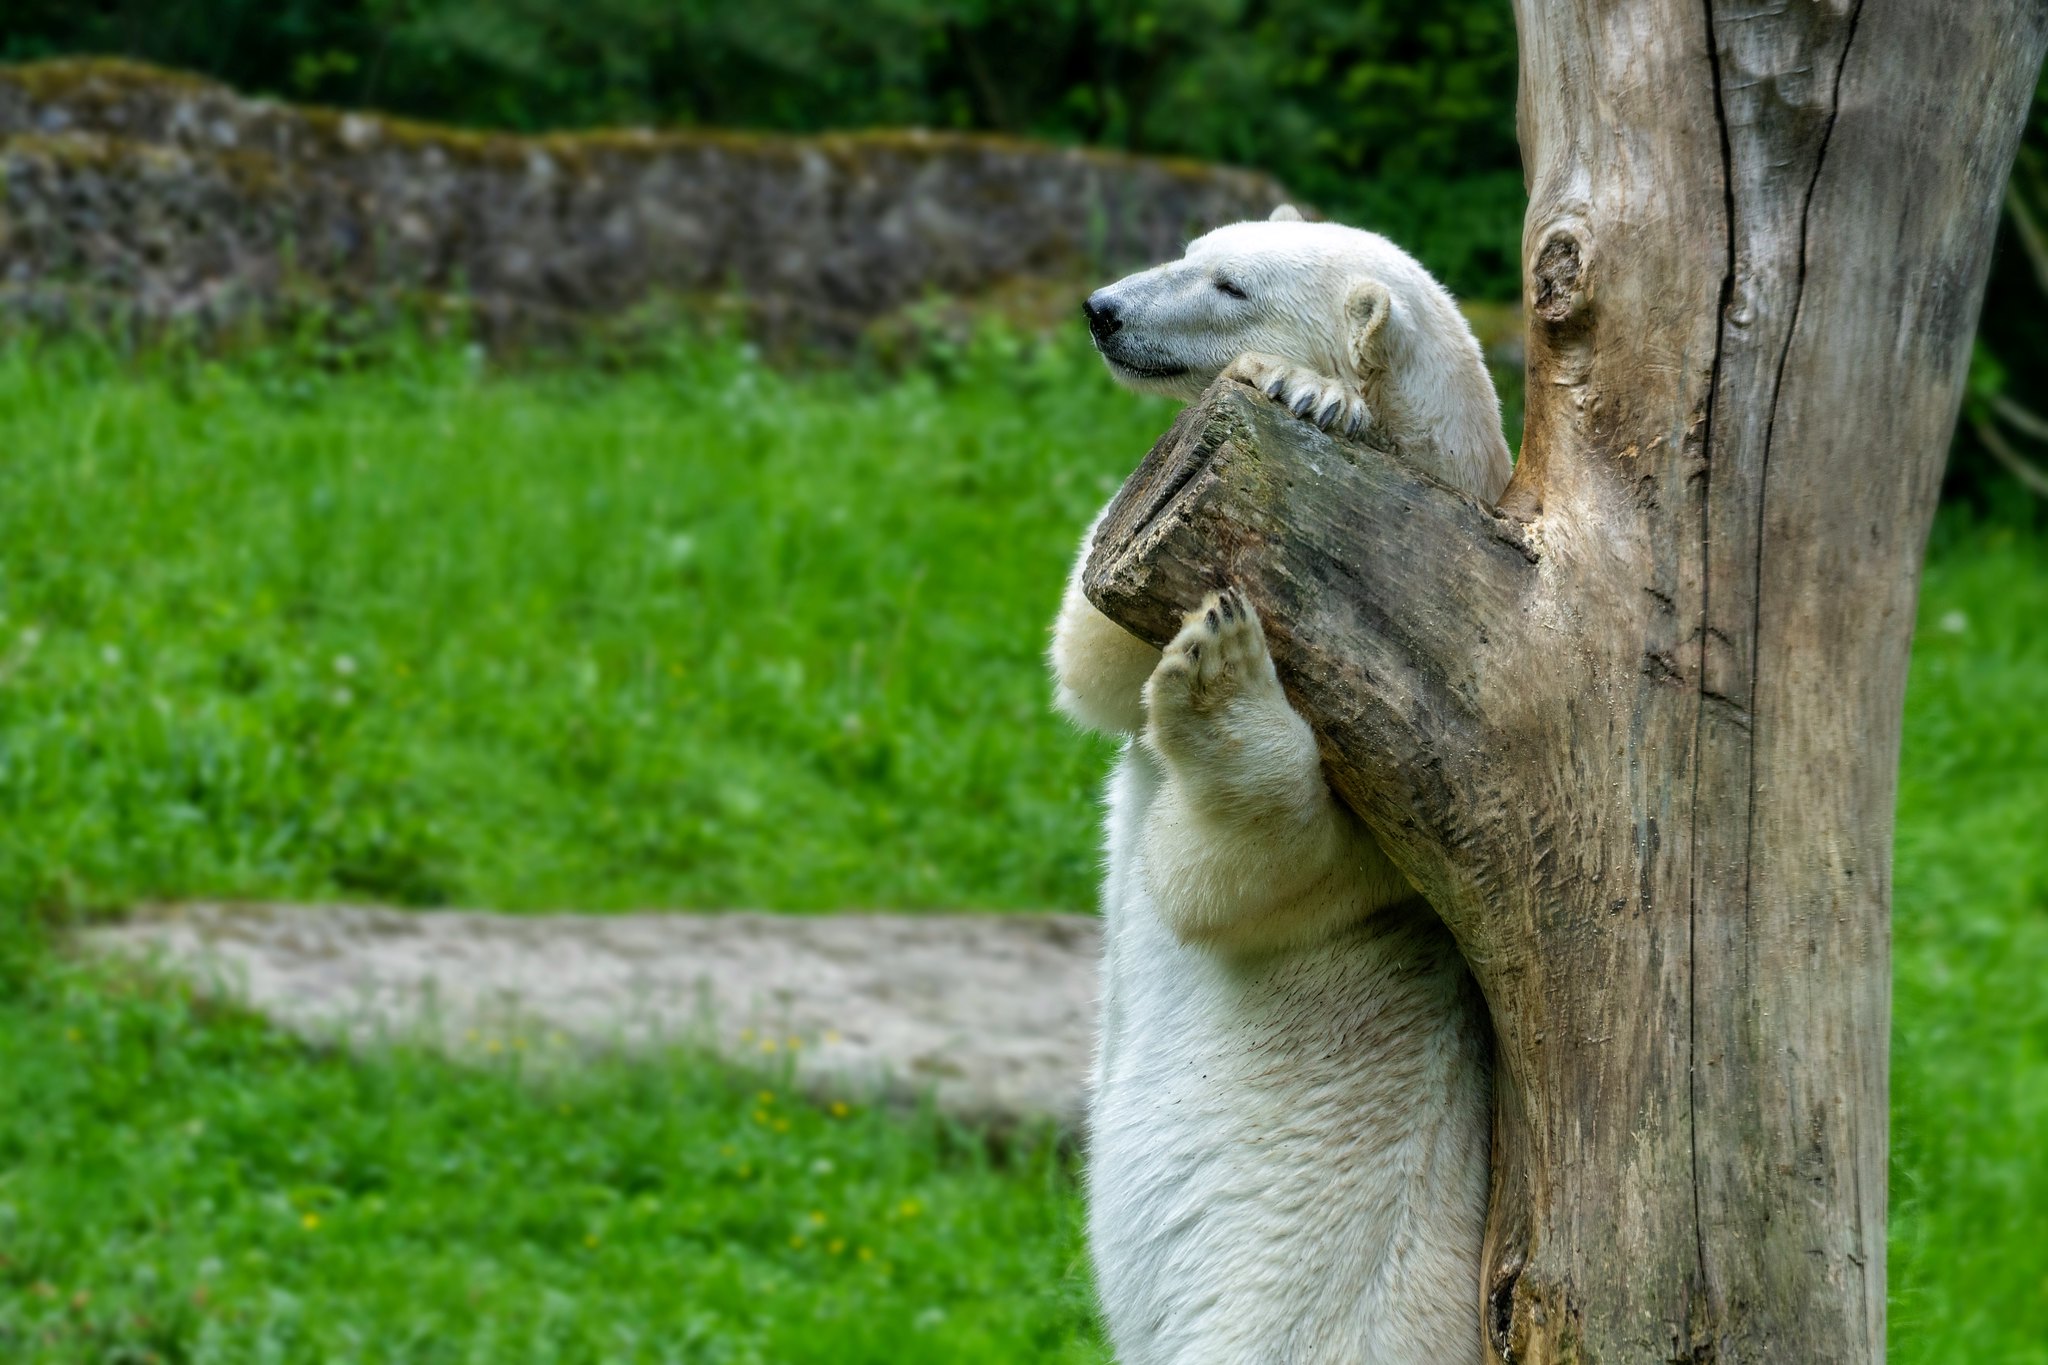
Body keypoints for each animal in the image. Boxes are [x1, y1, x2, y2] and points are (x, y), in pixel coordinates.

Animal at [1064, 205, 1515, 1365]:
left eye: (1231, 286)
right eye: (1192, 251)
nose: (1102, 309)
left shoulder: (1425, 776)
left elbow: (1246, 874)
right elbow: (1093, 660)